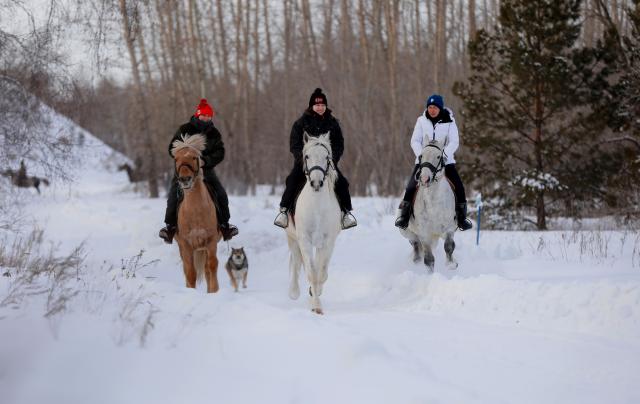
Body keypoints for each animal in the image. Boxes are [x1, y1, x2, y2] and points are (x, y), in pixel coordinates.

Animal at [171, 134, 221, 292]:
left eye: (194, 157)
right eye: (176, 159)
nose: (185, 179)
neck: (196, 211)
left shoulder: (210, 241)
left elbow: (212, 266)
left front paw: (214, 291)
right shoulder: (186, 244)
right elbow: (190, 272)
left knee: (207, 269)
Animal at [285, 132, 341, 314]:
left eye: (327, 157)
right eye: (307, 156)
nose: (316, 183)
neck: (316, 205)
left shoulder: (328, 241)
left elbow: (320, 273)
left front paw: (316, 297)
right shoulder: (304, 239)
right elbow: (311, 272)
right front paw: (316, 306)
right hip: (292, 238)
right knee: (296, 263)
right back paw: (293, 292)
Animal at [399, 140, 458, 272]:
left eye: (438, 156)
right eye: (421, 156)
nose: (425, 178)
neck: (433, 202)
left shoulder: (449, 228)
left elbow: (449, 246)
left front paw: (451, 265)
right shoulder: (424, 233)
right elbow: (429, 259)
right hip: (408, 232)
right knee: (415, 245)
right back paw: (416, 262)